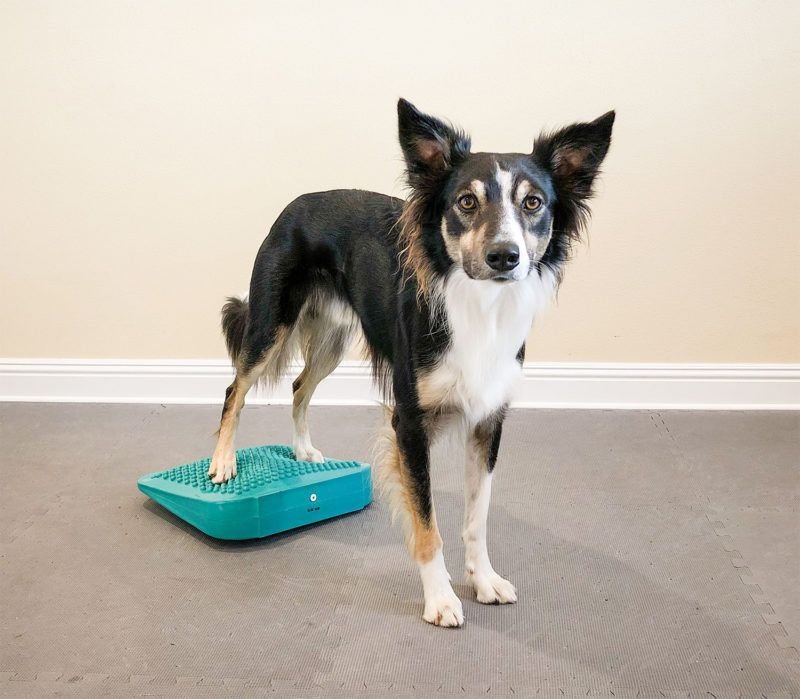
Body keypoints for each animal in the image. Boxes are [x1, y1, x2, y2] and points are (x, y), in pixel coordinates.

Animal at [206, 98, 612, 628]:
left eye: (533, 203)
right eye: (466, 202)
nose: (505, 256)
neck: (478, 306)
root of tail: (300, 200)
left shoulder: (489, 422)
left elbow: (477, 518)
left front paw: (483, 580)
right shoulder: (410, 423)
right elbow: (427, 523)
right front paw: (440, 598)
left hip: (334, 338)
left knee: (298, 388)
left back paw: (304, 451)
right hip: (271, 325)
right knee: (235, 389)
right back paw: (223, 462)